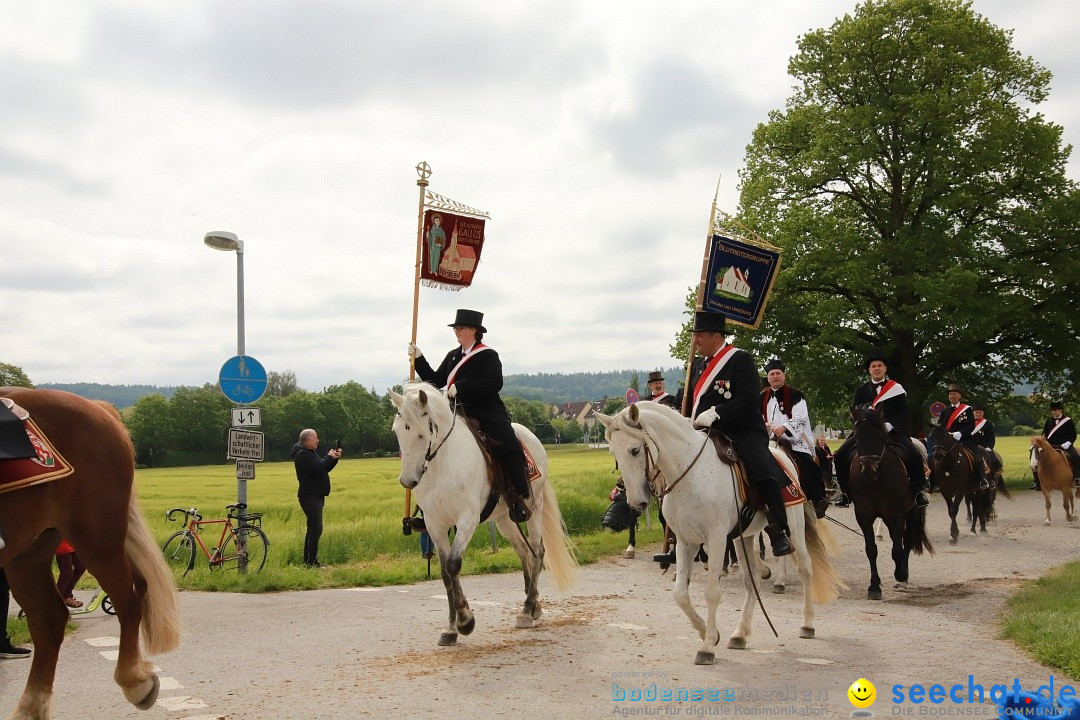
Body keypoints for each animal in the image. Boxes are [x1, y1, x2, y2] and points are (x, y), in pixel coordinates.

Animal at [0, 388, 181, 720]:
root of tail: (98, 408)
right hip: (29, 553)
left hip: (97, 537)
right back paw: (30, 708)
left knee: (129, 598)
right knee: (49, 619)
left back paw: (135, 681)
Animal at [390, 382, 578, 647]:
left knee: (537, 551)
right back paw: (534, 607)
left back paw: (527, 609)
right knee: (523, 551)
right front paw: (451, 628)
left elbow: (453, 565)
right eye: (397, 432)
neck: (443, 463)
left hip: (534, 508)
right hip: (504, 518)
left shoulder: (467, 518)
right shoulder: (435, 524)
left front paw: (465, 620)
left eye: (421, 433)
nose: (408, 481)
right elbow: (444, 573)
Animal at [600, 403, 842, 669]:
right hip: (742, 537)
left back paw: (807, 624)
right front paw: (708, 633)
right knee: (752, 581)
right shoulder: (686, 541)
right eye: (613, 452)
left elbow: (711, 593)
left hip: (794, 524)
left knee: (805, 568)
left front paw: (707, 647)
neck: (690, 473)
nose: (636, 502)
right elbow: (680, 594)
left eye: (634, 450)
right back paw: (740, 634)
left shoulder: (715, 539)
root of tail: (782, 453)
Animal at [846, 408, 933, 600]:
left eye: (880, 436)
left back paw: (903, 578)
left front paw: (900, 574)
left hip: (911, 511)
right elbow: (871, 549)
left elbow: (898, 549)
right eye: (857, 436)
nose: (868, 471)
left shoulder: (896, 515)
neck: (876, 480)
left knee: (906, 541)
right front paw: (874, 587)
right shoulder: (863, 515)